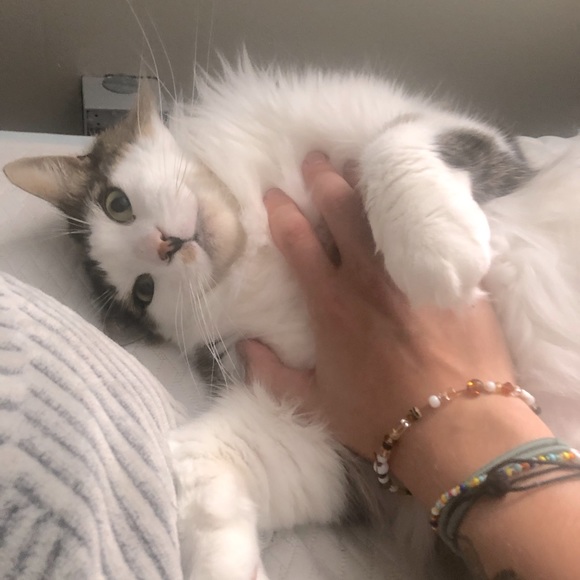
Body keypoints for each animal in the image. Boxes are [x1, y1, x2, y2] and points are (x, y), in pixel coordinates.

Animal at [6, 57, 580, 580]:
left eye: (116, 204)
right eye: (142, 292)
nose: (165, 246)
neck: (256, 241)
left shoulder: (465, 139)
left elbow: (393, 143)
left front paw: (436, 257)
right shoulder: (327, 429)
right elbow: (202, 465)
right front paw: (226, 565)